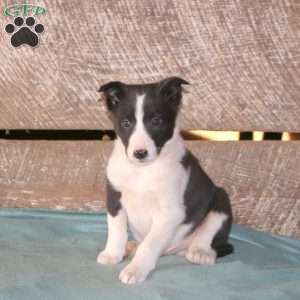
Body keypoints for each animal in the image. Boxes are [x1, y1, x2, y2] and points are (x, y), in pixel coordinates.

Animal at [97, 77, 233, 284]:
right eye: (126, 123)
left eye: (156, 121)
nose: (140, 153)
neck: (142, 170)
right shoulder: (114, 199)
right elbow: (117, 231)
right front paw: (113, 253)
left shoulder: (170, 213)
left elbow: (149, 245)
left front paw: (136, 269)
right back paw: (132, 246)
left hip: (220, 199)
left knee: (210, 234)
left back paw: (201, 252)